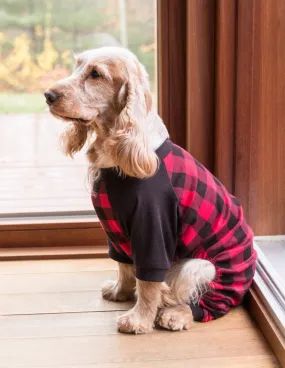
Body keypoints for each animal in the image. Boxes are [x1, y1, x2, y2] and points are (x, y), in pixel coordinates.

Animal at [43, 46, 255, 334]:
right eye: (77, 66)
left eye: (96, 74)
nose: (48, 95)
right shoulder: (116, 232)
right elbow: (123, 265)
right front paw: (119, 291)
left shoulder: (152, 227)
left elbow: (148, 282)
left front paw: (138, 320)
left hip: (200, 266)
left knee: (205, 304)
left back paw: (174, 315)